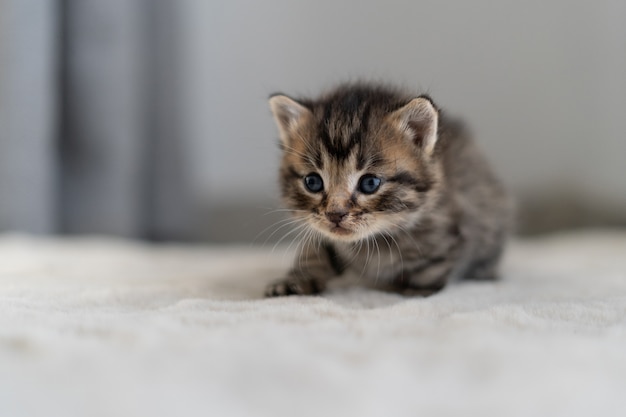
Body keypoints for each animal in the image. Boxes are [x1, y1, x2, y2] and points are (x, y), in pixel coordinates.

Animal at [262, 82, 508, 296]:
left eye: (369, 183)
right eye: (312, 182)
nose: (335, 214)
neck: (373, 239)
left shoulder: (452, 228)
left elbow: (433, 267)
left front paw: (414, 290)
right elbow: (315, 248)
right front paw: (295, 280)